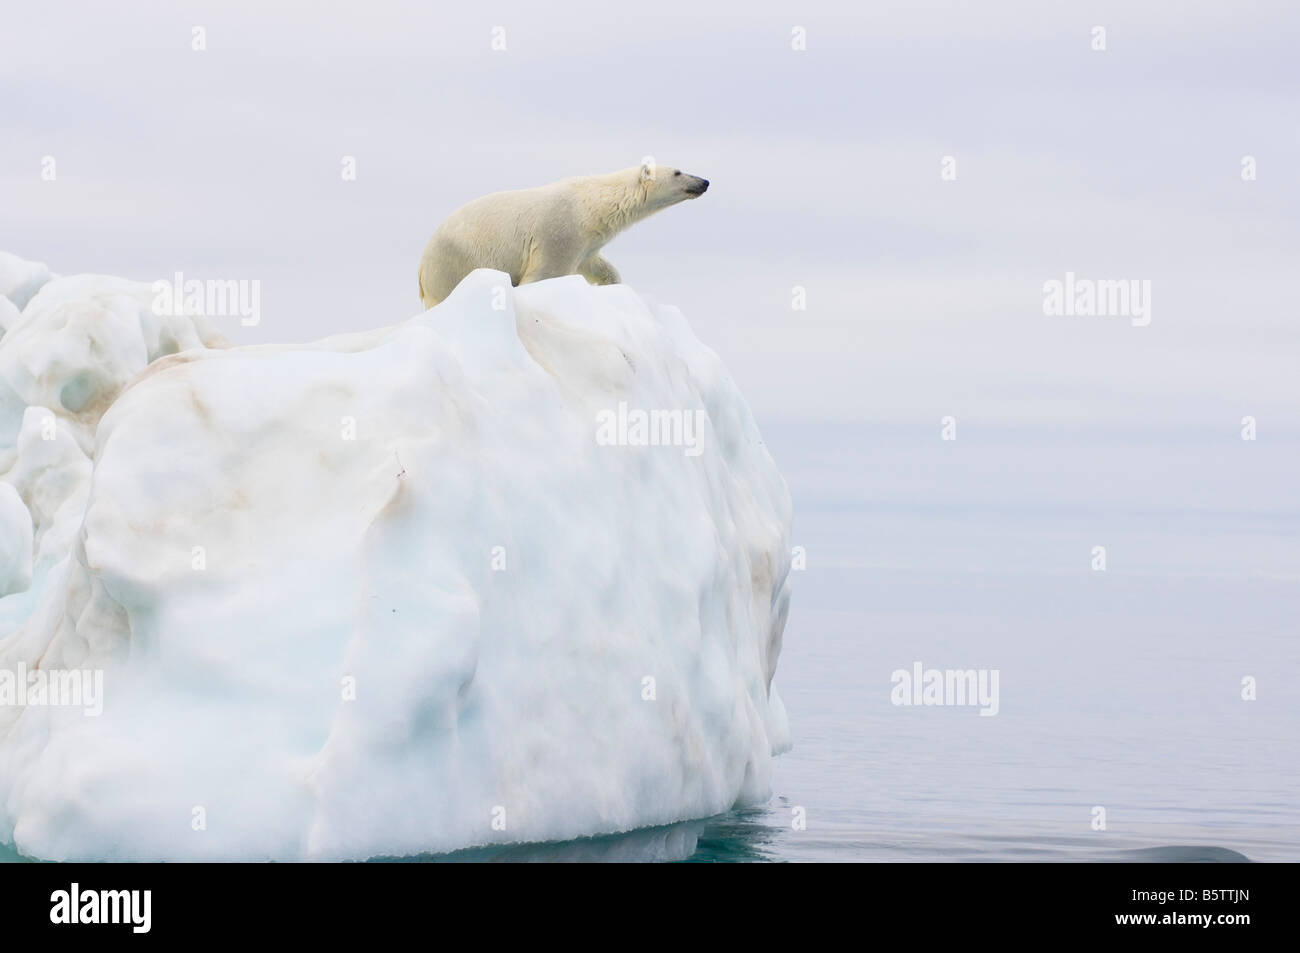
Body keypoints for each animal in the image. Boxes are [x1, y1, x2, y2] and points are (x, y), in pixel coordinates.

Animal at [417, 160, 709, 309]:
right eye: (678, 172)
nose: (704, 181)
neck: (589, 206)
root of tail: (421, 268)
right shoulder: (558, 232)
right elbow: (543, 273)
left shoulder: (587, 244)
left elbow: (597, 266)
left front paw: (612, 285)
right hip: (452, 263)